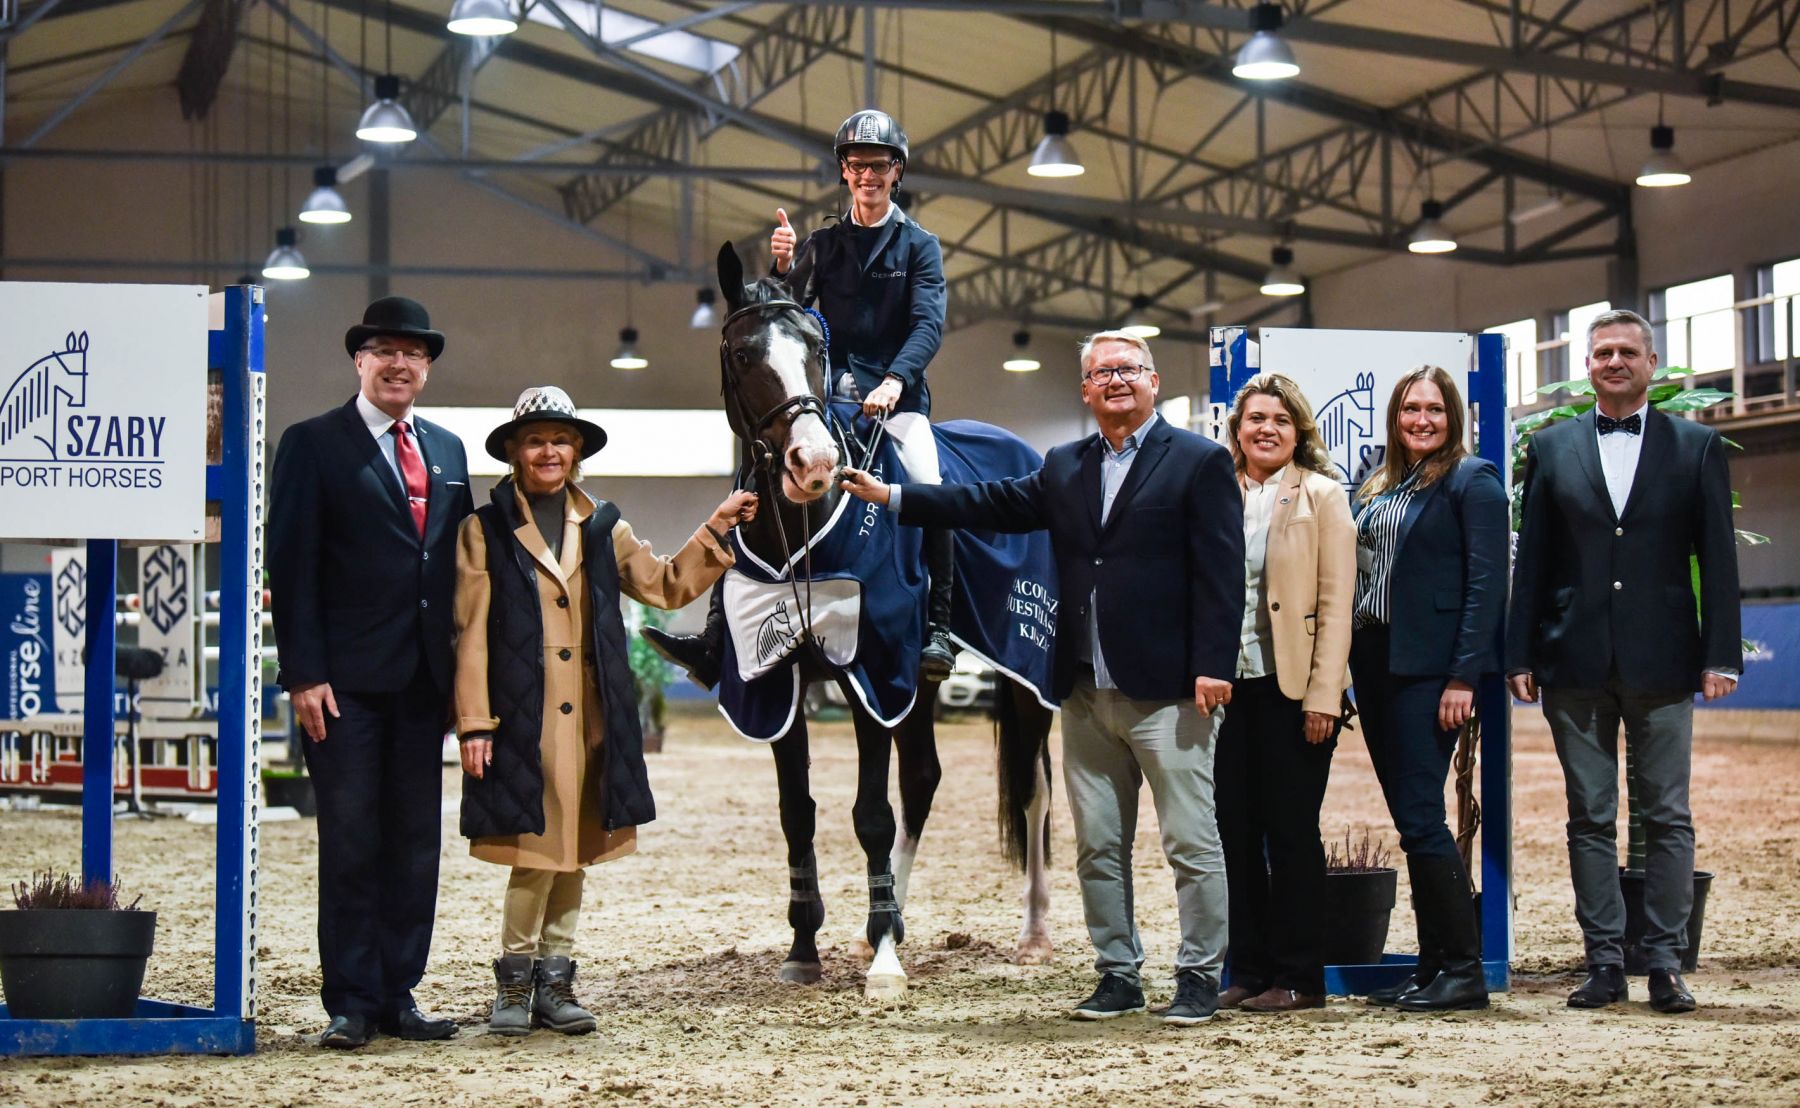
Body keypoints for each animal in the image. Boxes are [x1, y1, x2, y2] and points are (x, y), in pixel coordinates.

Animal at [705, 241, 1055, 1000]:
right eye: (744, 353)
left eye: (814, 350)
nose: (813, 463)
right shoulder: (783, 682)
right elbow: (798, 813)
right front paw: (806, 947)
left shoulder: (868, 673)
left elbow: (870, 814)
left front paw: (885, 962)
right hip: (917, 687)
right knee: (923, 780)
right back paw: (891, 916)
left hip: (1026, 674)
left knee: (1034, 790)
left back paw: (1032, 934)